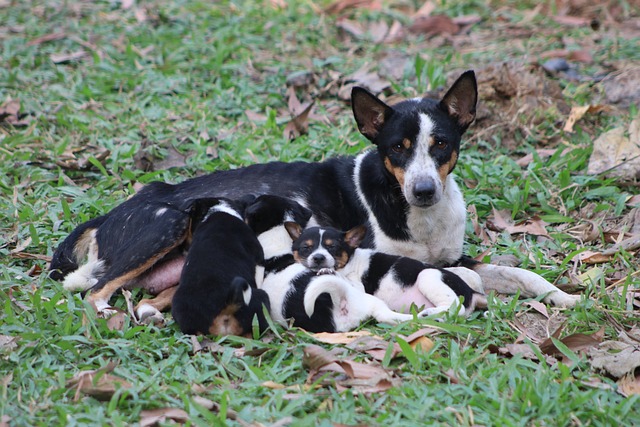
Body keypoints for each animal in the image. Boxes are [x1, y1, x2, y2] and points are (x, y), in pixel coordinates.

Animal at [50, 71, 580, 318]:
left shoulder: (454, 260)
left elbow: (522, 273)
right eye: (397, 148)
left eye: (442, 144)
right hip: (168, 223)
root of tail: (109, 215)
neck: (417, 217)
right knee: (93, 291)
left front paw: (566, 297)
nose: (425, 190)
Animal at [170, 198, 268, 338]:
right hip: (261, 299)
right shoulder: (259, 255)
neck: (219, 209)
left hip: (180, 306)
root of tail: (228, 305)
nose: (182, 248)